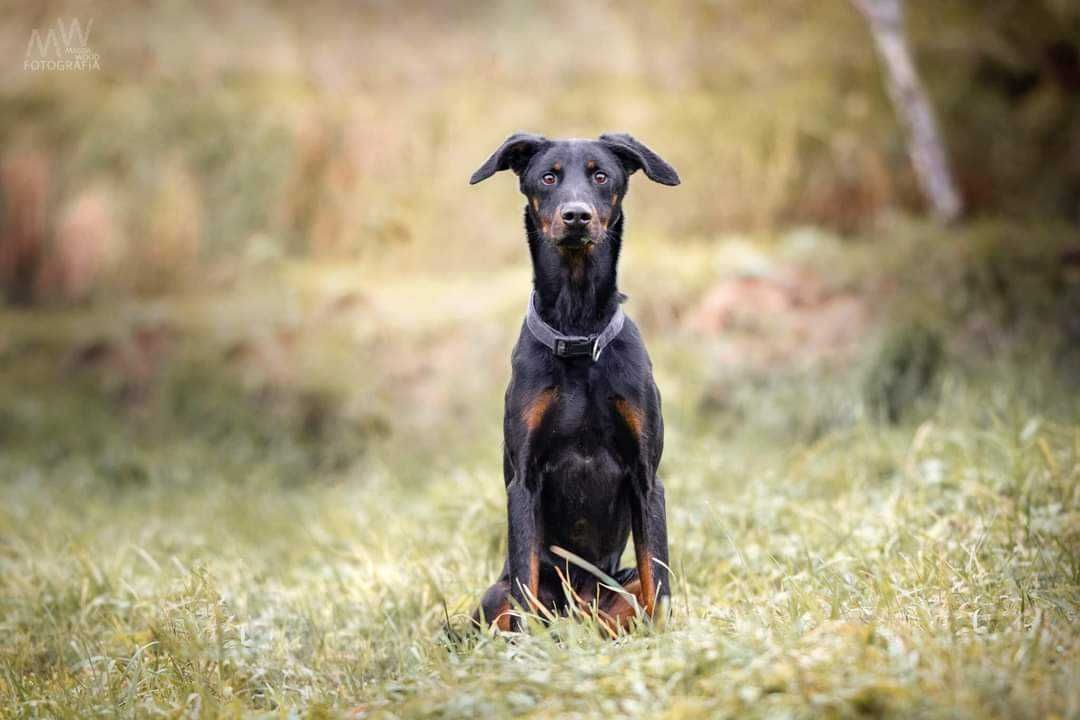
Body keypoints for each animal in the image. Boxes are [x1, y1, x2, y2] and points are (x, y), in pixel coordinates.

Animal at [468, 133, 678, 630]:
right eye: (549, 177)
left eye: (600, 175)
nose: (577, 216)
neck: (578, 329)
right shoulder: (523, 481)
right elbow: (524, 588)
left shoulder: (647, 478)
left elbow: (657, 580)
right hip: (493, 594)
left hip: (617, 588)